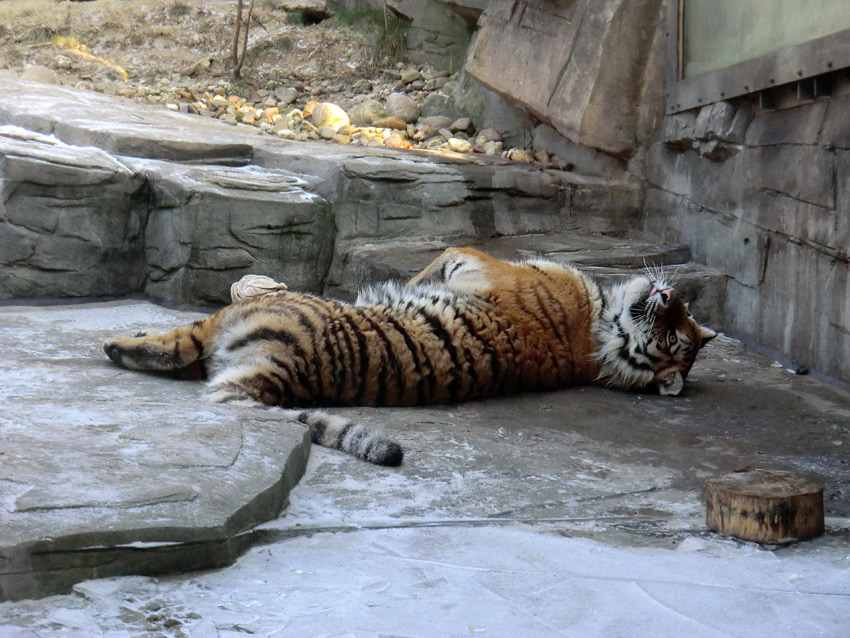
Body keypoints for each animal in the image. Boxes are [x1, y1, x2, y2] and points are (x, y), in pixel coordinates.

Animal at [104, 248, 716, 468]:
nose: (666, 294)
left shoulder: (475, 261)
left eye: (674, 337)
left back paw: (118, 345)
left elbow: (434, 263)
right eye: (680, 323)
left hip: (255, 312)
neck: (598, 335)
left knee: (184, 343)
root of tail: (282, 374)